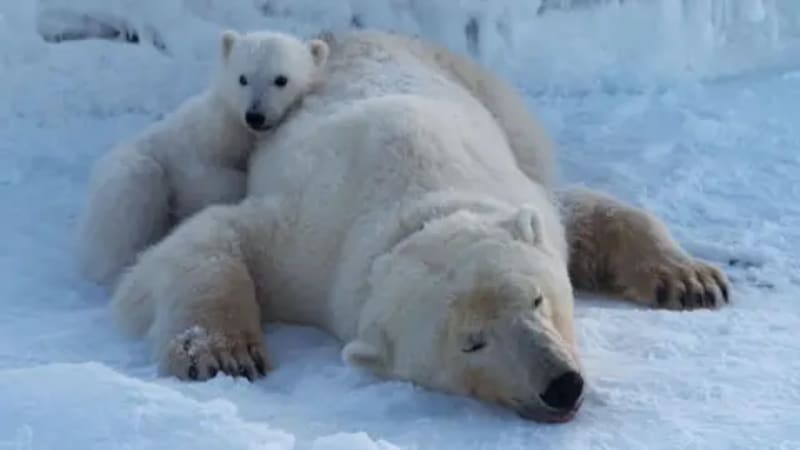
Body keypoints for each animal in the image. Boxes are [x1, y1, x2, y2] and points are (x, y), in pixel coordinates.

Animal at [75, 29, 329, 287]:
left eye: (281, 79)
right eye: (242, 78)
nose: (255, 115)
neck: (236, 135)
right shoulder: (197, 147)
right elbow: (205, 182)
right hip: (124, 177)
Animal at [108, 30, 729, 423]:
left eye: (537, 299)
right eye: (472, 344)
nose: (560, 386)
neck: (416, 201)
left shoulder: (513, 190)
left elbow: (583, 211)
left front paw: (691, 281)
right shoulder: (310, 242)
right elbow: (209, 240)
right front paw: (221, 354)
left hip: (491, 95)